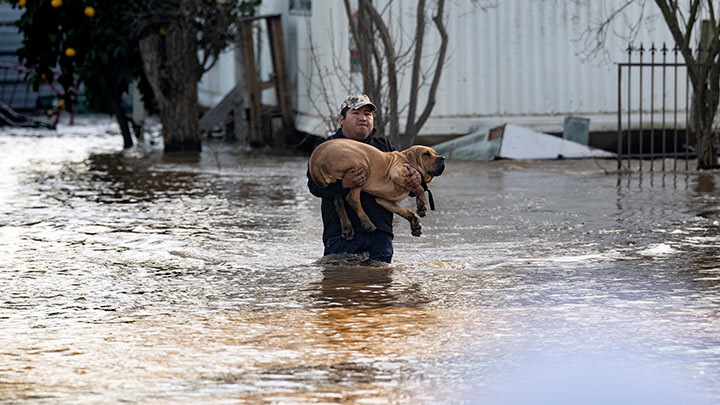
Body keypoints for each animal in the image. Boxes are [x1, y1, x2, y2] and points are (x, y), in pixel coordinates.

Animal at [308, 139, 444, 240]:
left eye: (436, 153)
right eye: (426, 154)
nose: (442, 157)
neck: (405, 158)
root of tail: (315, 159)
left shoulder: (384, 200)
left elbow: (404, 211)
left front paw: (415, 224)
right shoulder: (398, 173)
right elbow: (419, 187)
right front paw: (422, 205)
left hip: (338, 186)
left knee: (339, 203)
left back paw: (347, 228)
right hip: (361, 167)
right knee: (352, 199)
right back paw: (367, 223)